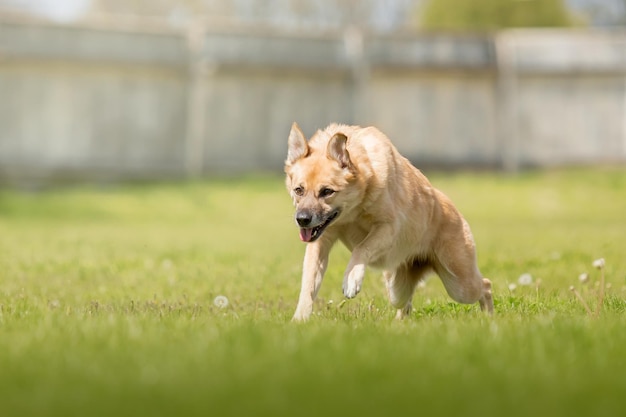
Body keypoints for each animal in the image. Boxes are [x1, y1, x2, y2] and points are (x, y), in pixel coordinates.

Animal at [284, 122, 492, 320]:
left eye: (327, 191)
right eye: (299, 190)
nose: (302, 220)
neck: (352, 212)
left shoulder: (388, 228)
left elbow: (362, 248)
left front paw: (352, 278)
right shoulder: (320, 242)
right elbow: (309, 284)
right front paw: (299, 319)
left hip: (460, 285)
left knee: (485, 286)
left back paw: (489, 317)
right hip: (396, 288)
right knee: (405, 303)